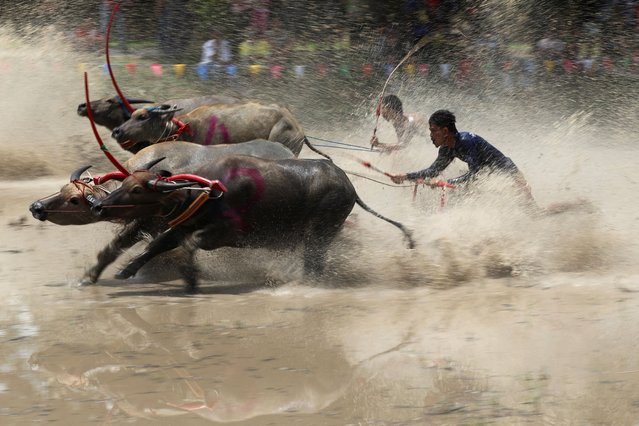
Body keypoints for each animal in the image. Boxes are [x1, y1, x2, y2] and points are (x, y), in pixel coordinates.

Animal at [29, 141, 296, 284]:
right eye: (62, 189)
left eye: (74, 200)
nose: (36, 207)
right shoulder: (146, 224)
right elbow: (113, 249)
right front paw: (90, 276)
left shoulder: (153, 223)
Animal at [92, 155, 418, 292]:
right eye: (125, 182)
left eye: (137, 190)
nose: (98, 206)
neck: (209, 190)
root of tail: (348, 185)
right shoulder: (184, 224)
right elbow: (160, 243)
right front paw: (125, 270)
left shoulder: (226, 233)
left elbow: (190, 245)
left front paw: (190, 278)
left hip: (321, 231)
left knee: (314, 261)